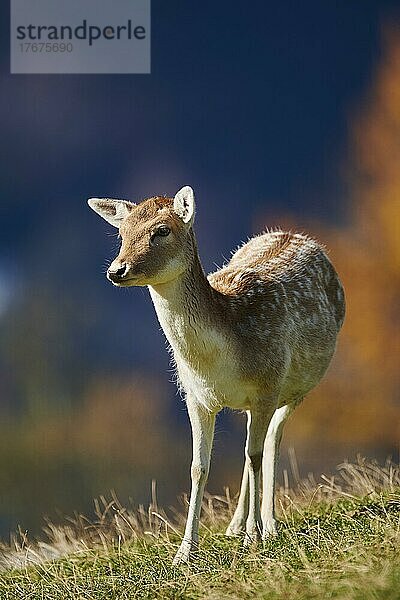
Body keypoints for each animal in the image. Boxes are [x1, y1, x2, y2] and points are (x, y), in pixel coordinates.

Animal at [87, 185, 344, 564]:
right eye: (122, 233)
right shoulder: (195, 396)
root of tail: (300, 236)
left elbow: (254, 457)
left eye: (162, 230)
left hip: (300, 387)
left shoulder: (268, 385)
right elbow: (199, 466)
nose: (117, 270)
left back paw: (267, 524)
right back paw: (234, 526)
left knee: (269, 442)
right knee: (254, 446)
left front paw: (253, 539)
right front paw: (185, 551)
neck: (218, 361)